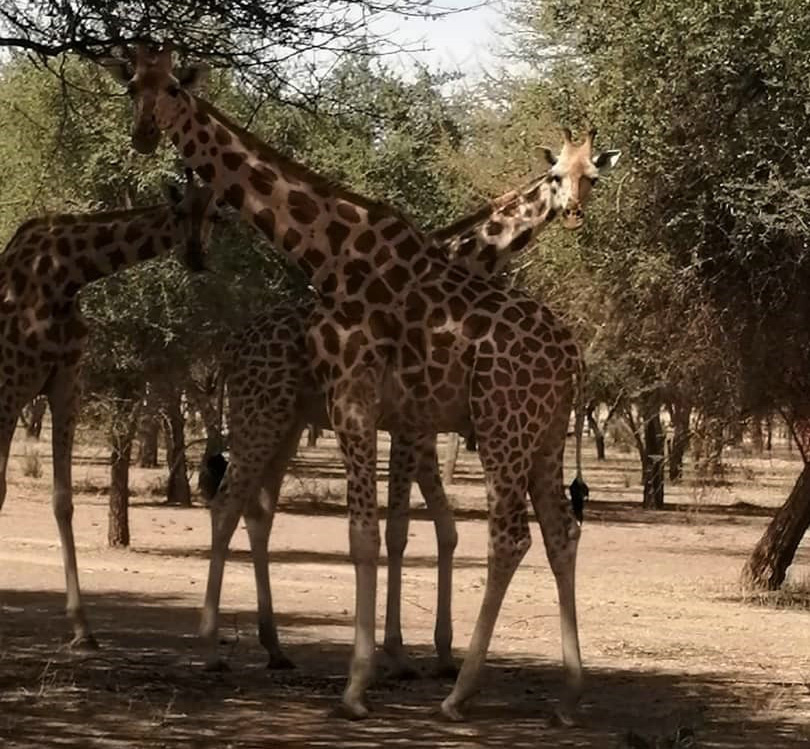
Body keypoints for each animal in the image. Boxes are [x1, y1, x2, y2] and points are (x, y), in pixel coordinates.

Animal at [0, 175, 219, 648]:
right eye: (179, 212)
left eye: (214, 214)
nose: (195, 256)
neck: (67, 274)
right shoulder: (10, 384)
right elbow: (1, 490)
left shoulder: (65, 383)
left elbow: (63, 500)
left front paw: (83, 628)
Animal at [197, 168, 600, 676]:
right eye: (560, 180)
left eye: (593, 177)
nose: (576, 214)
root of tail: (230, 349)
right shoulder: (410, 432)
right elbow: (400, 530)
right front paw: (397, 650)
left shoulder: (420, 434)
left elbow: (444, 529)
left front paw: (439, 651)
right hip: (258, 411)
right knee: (227, 503)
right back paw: (214, 649)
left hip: (285, 421)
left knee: (258, 511)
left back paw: (275, 646)